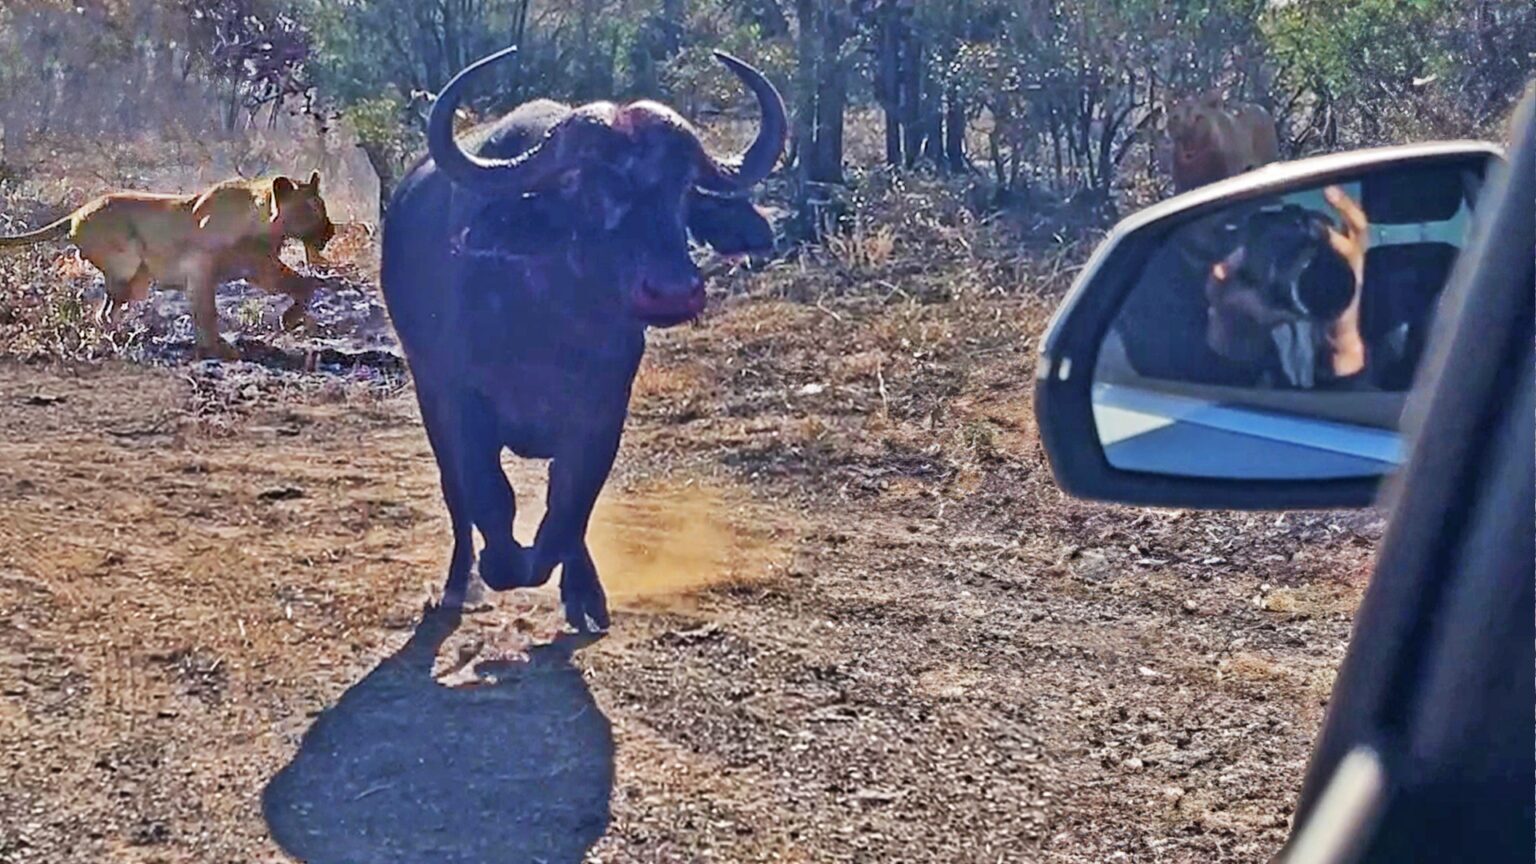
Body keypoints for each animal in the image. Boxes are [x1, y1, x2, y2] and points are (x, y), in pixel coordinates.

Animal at [0, 169, 334, 358]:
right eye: (312, 209)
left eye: (322, 206)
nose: (330, 231)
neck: (263, 224)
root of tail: (76, 212)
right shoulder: (202, 268)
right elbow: (206, 311)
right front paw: (216, 348)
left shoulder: (260, 267)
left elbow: (305, 285)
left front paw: (290, 319)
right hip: (126, 264)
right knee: (105, 311)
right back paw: (119, 338)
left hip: (137, 281)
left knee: (106, 312)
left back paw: (122, 336)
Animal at [379, 45, 786, 624]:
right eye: (587, 189)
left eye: (684, 188)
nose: (672, 291)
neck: (552, 321)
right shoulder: (460, 399)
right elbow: (489, 494)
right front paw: (501, 565)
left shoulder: (602, 410)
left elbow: (571, 505)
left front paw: (581, 590)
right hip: (427, 391)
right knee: (455, 492)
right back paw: (460, 583)